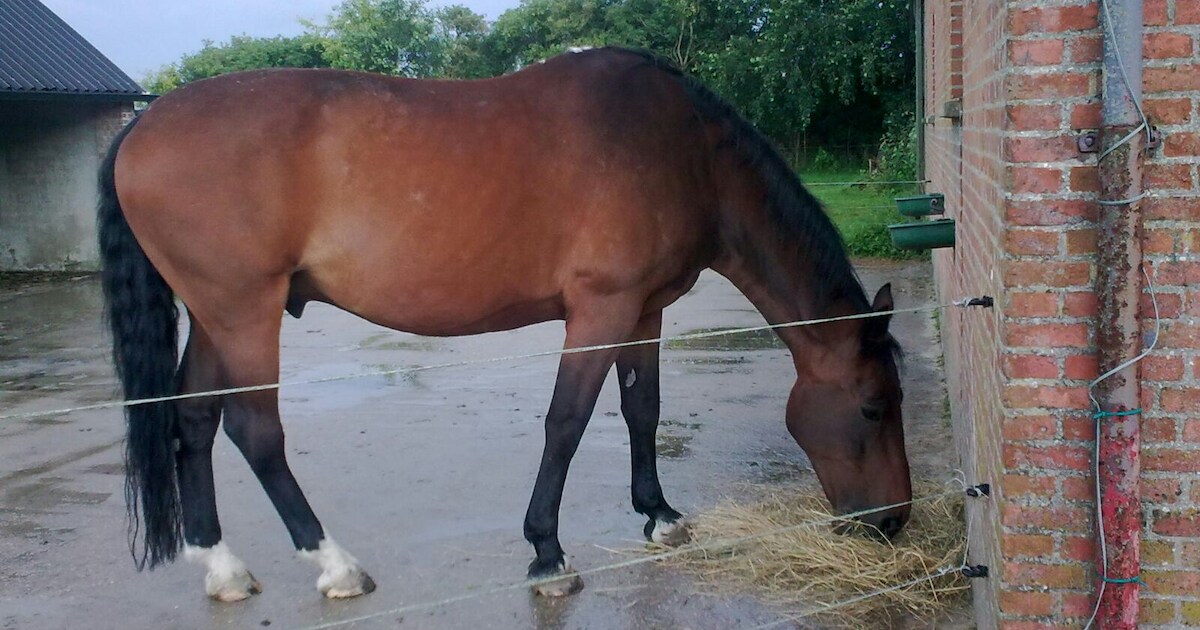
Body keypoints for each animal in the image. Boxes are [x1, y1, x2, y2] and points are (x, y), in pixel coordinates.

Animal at [98, 47, 910, 602]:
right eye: (874, 407)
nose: (892, 522)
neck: (685, 153)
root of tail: (140, 129)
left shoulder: (644, 309)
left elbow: (643, 411)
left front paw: (659, 515)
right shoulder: (600, 308)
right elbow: (567, 423)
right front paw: (547, 553)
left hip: (215, 315)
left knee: (193, 418)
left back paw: (223, 567)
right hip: (243, 310)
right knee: (254, 431)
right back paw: (335, 564)